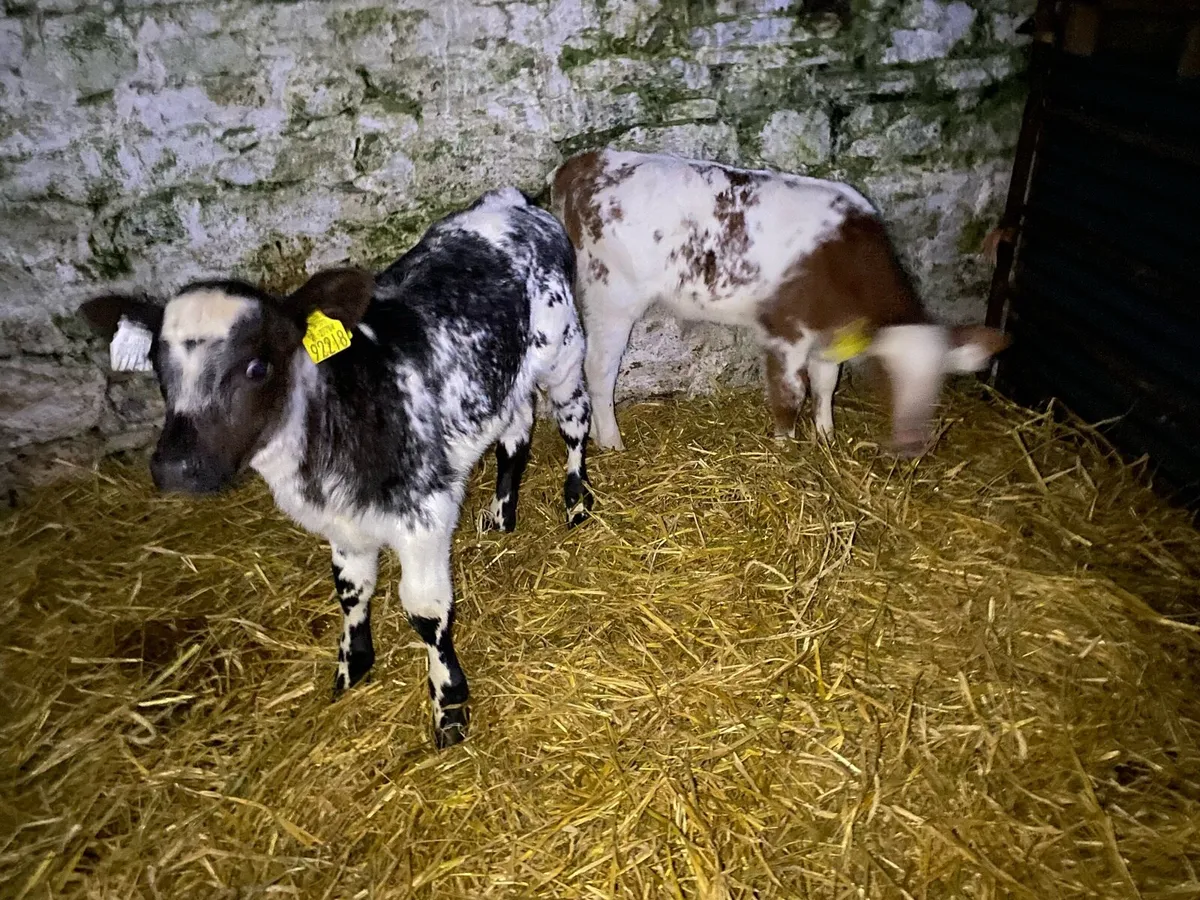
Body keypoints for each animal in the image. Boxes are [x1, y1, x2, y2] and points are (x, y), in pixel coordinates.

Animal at [79, 188, 593, 748]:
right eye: (157, 367)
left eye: (257, 367)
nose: (175, 467)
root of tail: (511, 201)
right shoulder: (340, 523)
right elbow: (350, 589)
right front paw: (352, 665)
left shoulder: (425, 513)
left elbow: (425, 611)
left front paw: (449, 704)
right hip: (502, 380)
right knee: (516, 429)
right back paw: (501, 514)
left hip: (565, 350)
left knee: (574, 418)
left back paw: (577, 500)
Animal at [550, 149, 1010, 456]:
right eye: (886, 376)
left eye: (939, 382)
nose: (912, 445)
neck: (843, 258)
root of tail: (587, 160)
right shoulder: (785, 330)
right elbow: (791, 392)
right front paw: (785, 447)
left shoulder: (831, 332)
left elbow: (826, 383)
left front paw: (825, 434)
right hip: (611, 295)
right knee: (598, 368)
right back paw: (611, 441)